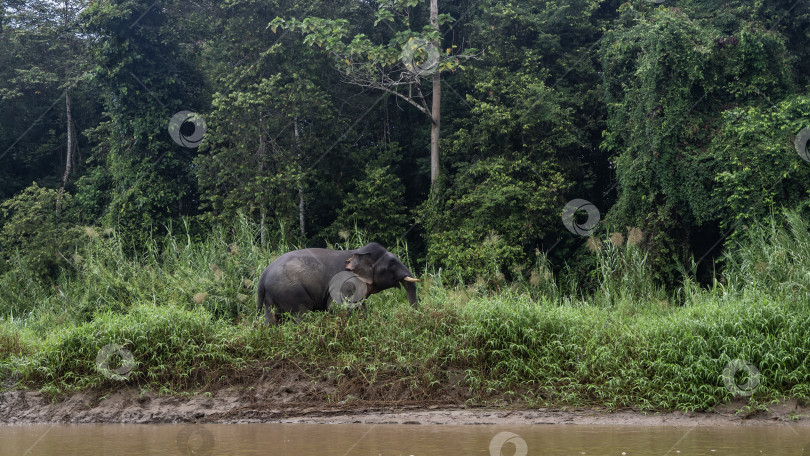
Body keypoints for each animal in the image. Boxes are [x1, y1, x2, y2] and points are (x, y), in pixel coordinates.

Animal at [256, 242, 420, 324]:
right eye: (392, 263)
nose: (413, 317)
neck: (358, 252)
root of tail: (263, 276)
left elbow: (360, 307)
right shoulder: (346, 282)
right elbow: (336, 306)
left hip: (271, 299)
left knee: (272, 319)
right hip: (292, 293)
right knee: (301, 315)